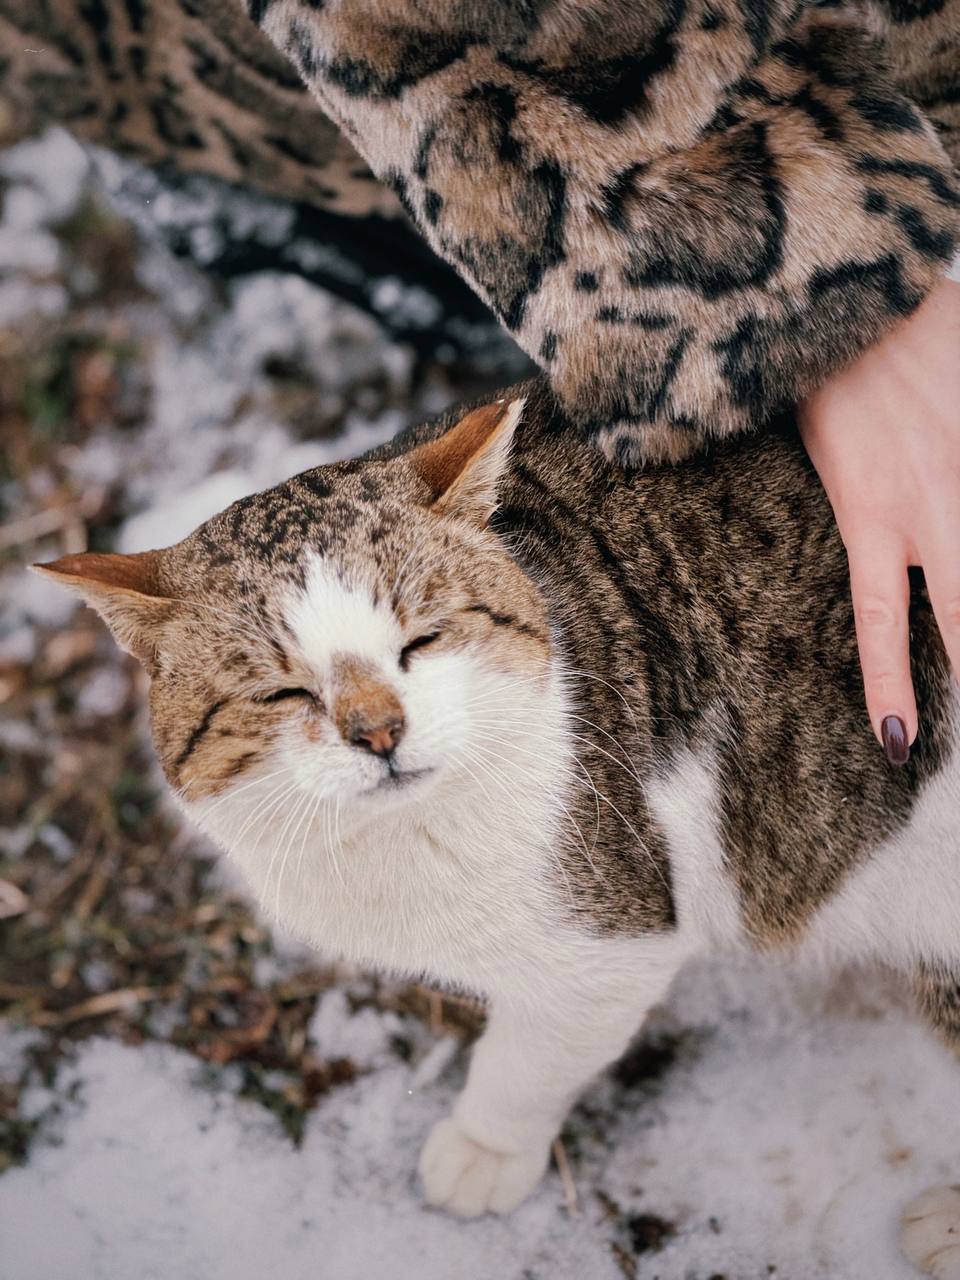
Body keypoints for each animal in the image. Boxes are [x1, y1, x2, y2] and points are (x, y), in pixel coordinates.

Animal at [36, 379, 960, 1265]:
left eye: (422, 641)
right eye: (283, 691)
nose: (379, 732)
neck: (402, 841)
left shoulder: (610, 937)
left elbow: (525, 1062)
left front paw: (483, 1150)